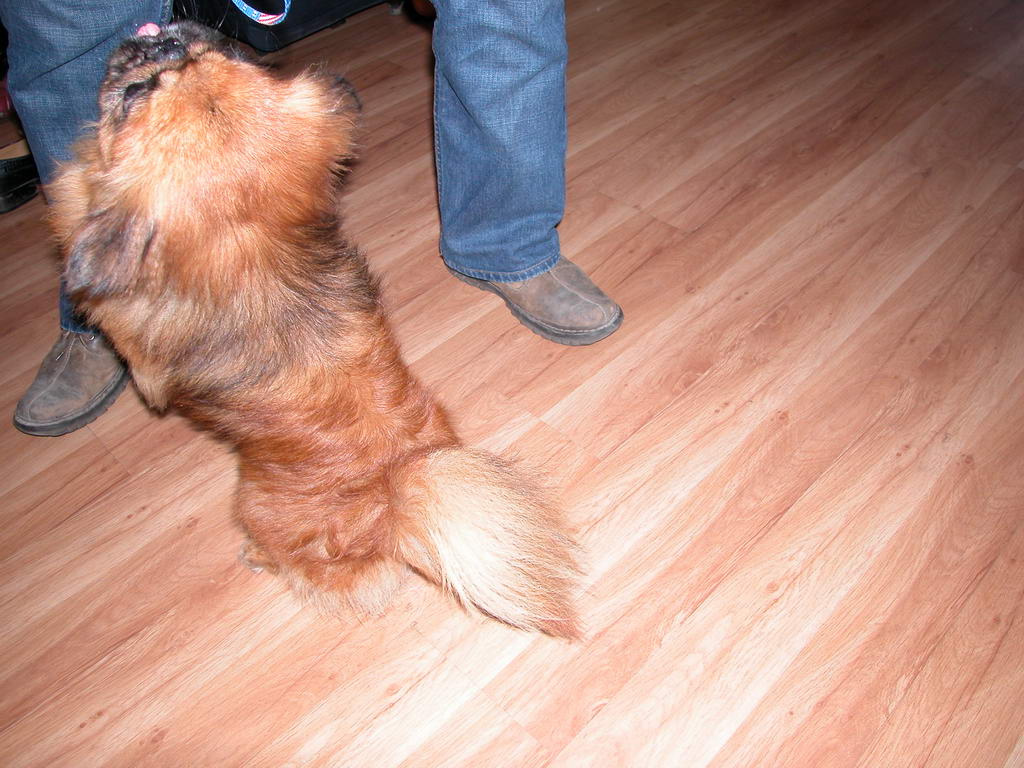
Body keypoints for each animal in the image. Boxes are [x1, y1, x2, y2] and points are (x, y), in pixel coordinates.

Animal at [49, 21, 580, 638]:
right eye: (219, 51)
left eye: (138, 93)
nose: (167, 38)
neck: (252, 250)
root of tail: (392, 502)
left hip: (252, 506)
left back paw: (257, 555)